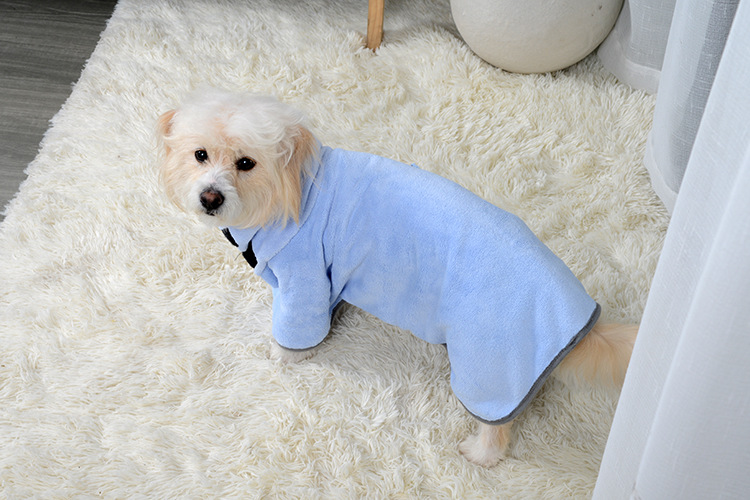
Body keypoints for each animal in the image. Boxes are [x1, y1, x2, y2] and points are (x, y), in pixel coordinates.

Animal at [159, 88, 640, 466]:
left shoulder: (303, 279)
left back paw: (480, 453)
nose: (210, 197)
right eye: (200, 155)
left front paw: (282, 357)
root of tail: (572, 308)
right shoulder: (326, 279)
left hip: (486, 360)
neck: (295, 190)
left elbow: (296, 329)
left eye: (246, 163)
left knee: (497, 422)